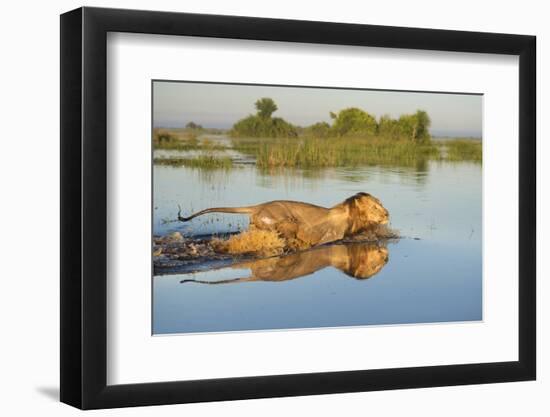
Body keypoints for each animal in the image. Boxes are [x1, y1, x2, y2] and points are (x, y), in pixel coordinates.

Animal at [179, 192, 390, 247]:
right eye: (375, 207)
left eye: (381, 203)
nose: (388, 214)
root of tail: (258, 205)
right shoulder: (331, 237)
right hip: (286, 220)